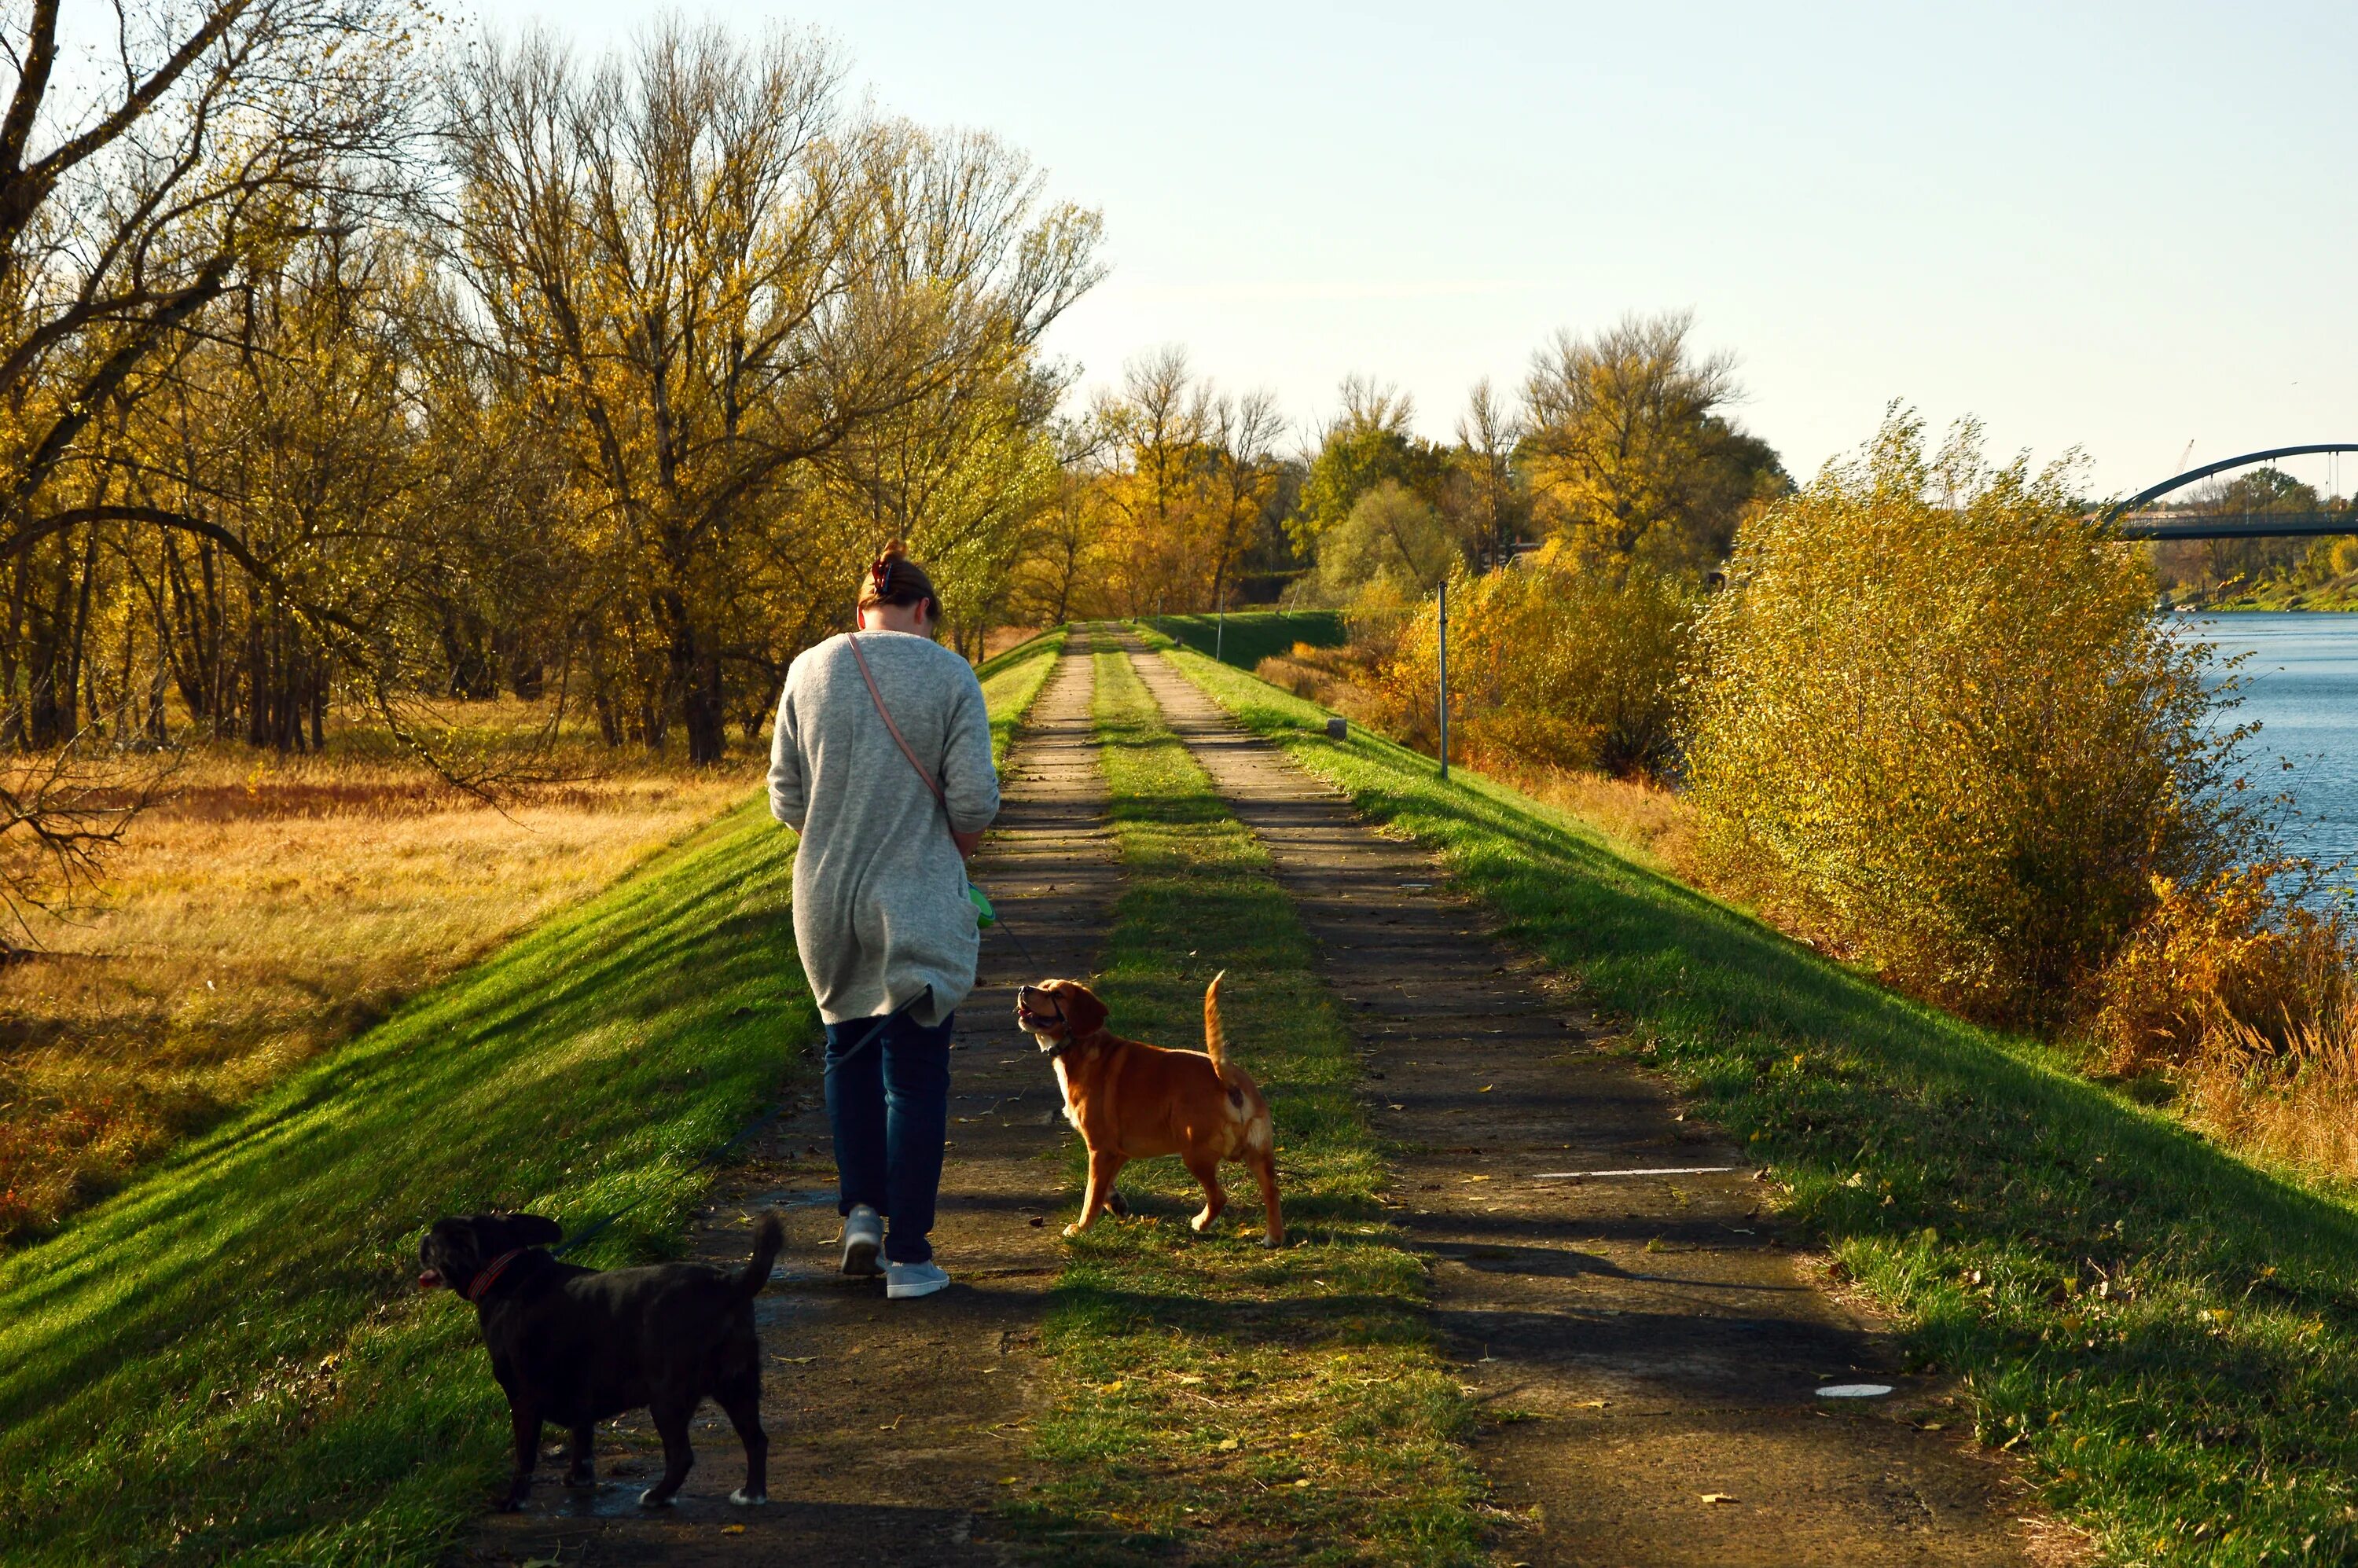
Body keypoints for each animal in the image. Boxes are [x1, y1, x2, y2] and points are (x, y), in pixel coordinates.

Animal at [420, 1207, 788, 1509]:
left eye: (436, 1240)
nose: (421, 1239)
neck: (506, 1272)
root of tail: (730, 1284)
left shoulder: (523, 1401)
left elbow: (524, 1459)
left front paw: (513, 1500)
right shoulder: (581, 1392)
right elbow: (582, 1441)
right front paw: (578, 1479)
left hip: (668, 1398)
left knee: (682, 1456)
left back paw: (658, 1496)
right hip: (737, 1386)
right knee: (756, 1440)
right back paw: (752, 1494)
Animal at [1009, 967, 1283, 1245]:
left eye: (1057, 994)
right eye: (1042, 986)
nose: (1023, 989)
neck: (1081, 1046)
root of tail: (1225, 1077)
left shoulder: (1099, 1149)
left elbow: (1091, 1193)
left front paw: (1082, 1227)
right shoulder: (1116, 1151)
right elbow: (1105, 1187)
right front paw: (1116, 1203)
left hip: (1195, 1155)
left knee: (1219, 1197)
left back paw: (1201, 1223)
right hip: (1258, 1154)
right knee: (1272, 1190)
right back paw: (1274, 1237)